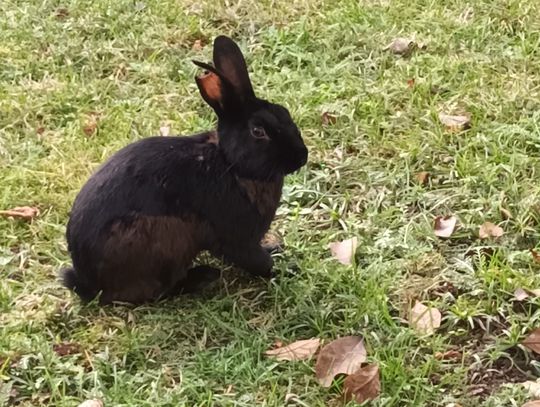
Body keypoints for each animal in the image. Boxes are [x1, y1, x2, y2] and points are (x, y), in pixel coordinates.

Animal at [61, 35, 308, 304]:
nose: (302, 157)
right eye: (258, 131)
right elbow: (256, 261)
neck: (232, 164)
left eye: (284, 112)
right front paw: (283, 269)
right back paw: (203, 276)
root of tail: (88, 283)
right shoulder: (237, 239)